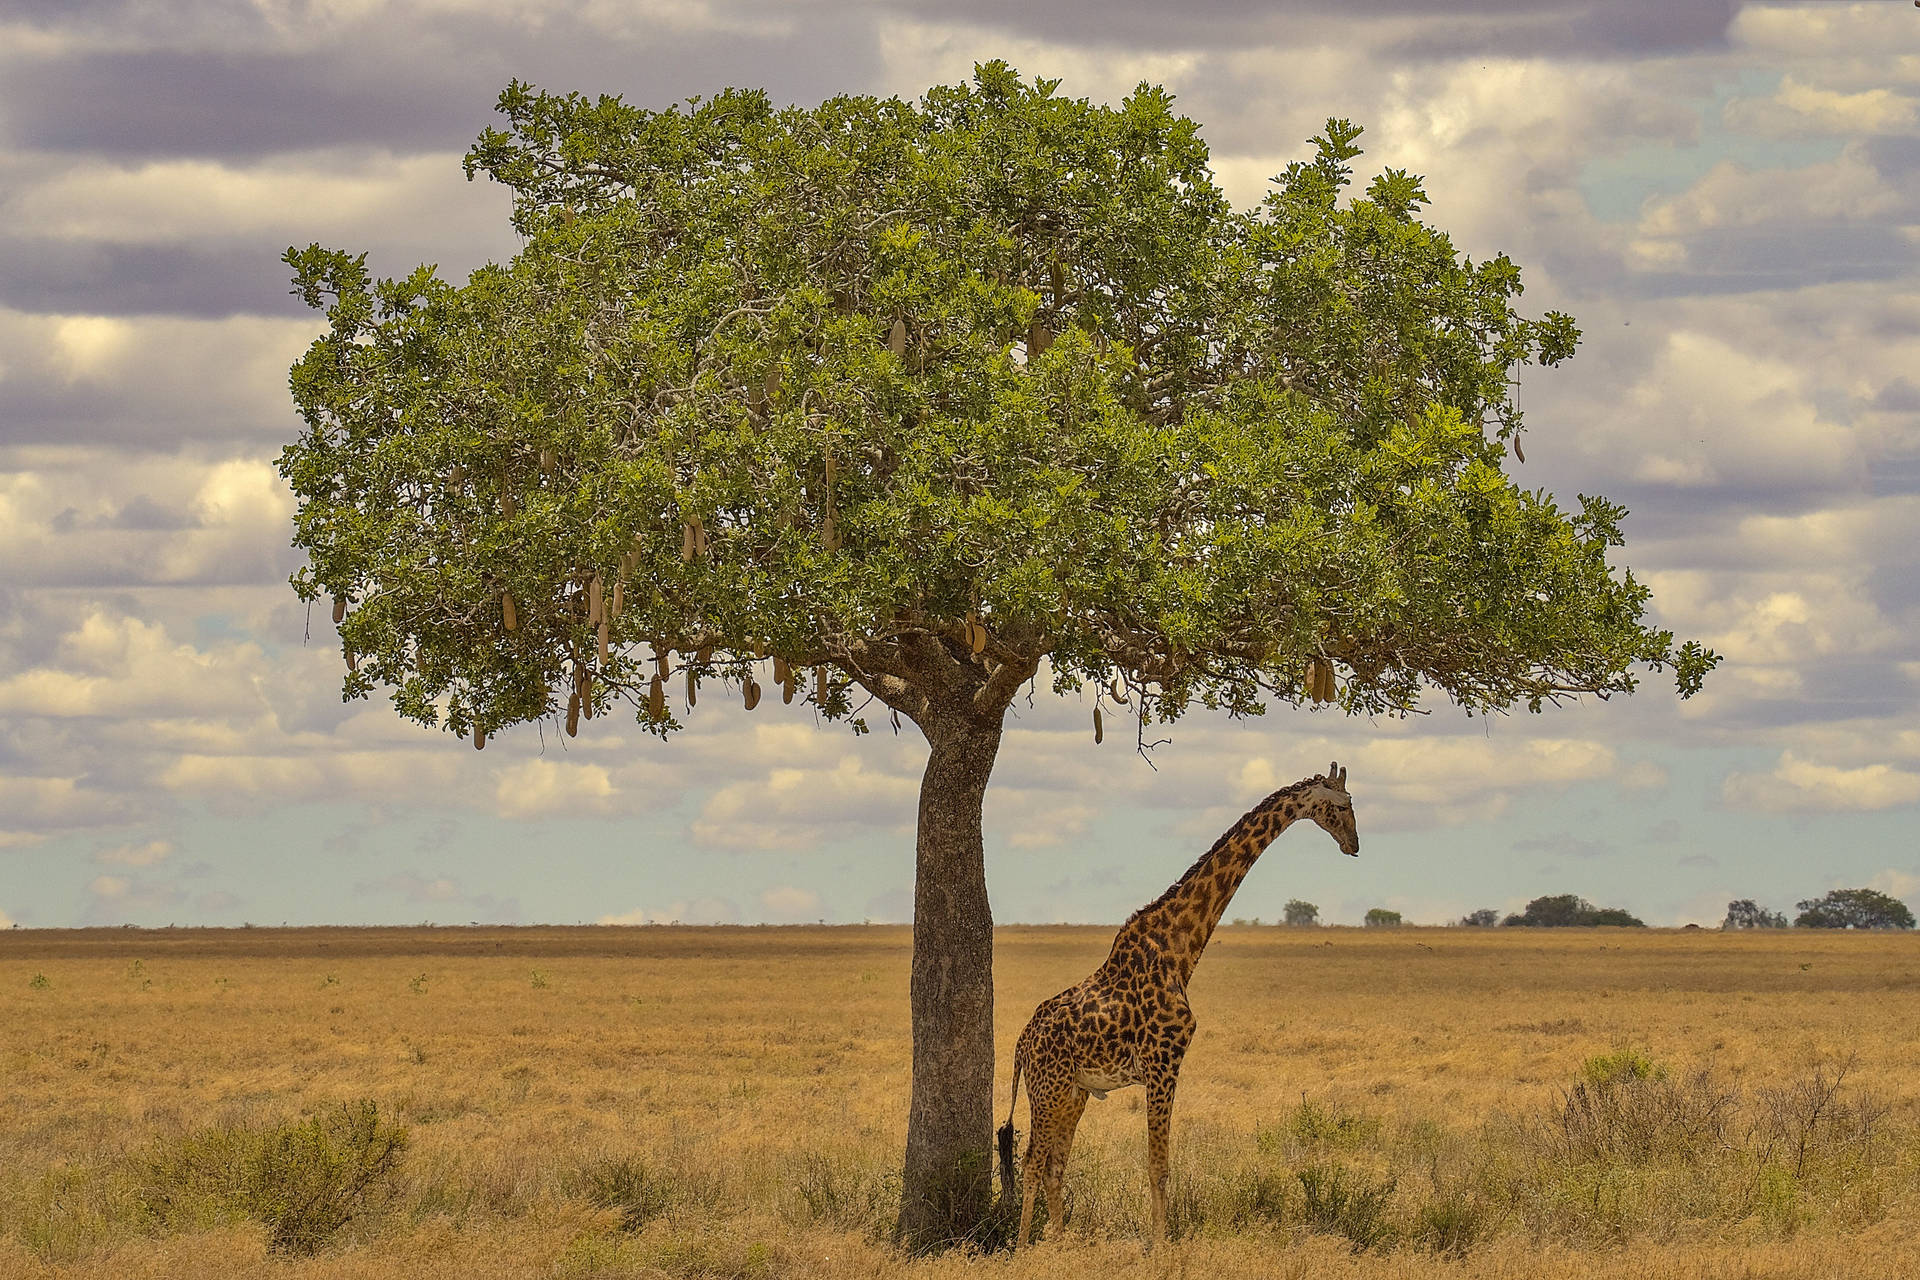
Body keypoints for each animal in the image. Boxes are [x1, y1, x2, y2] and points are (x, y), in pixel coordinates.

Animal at [998, 767, 1359, 1243]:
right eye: (1342, 805)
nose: (1354, 844)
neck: (1178, 950)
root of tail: (1022, 1043)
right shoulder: (1162, 1064)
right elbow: (1158, 1164)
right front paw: (1160, 1242)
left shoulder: (1158, 1069)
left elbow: (1155, 1163)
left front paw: (1157, 1238)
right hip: (1048, 1086)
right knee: (1032, 1161)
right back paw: (1025, 1246)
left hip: (1074, 1091)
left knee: (1055, 1164)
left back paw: (1060, 1242)